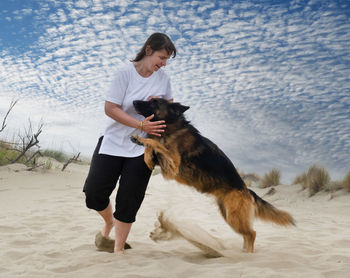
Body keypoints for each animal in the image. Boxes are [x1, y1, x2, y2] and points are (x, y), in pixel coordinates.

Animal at [130, 99, 294, 253]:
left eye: (154, 102)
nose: (134, 101)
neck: (172, 127)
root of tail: (247, 190)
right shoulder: (166, 163)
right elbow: (152, 147)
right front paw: (147, 156)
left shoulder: (173, 164)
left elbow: (154, 142)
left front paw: (141, 139)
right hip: (228, 215)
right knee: (246, 235)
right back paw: (242, 252)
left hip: (234, 217)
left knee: (252, 233)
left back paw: (248, 254)